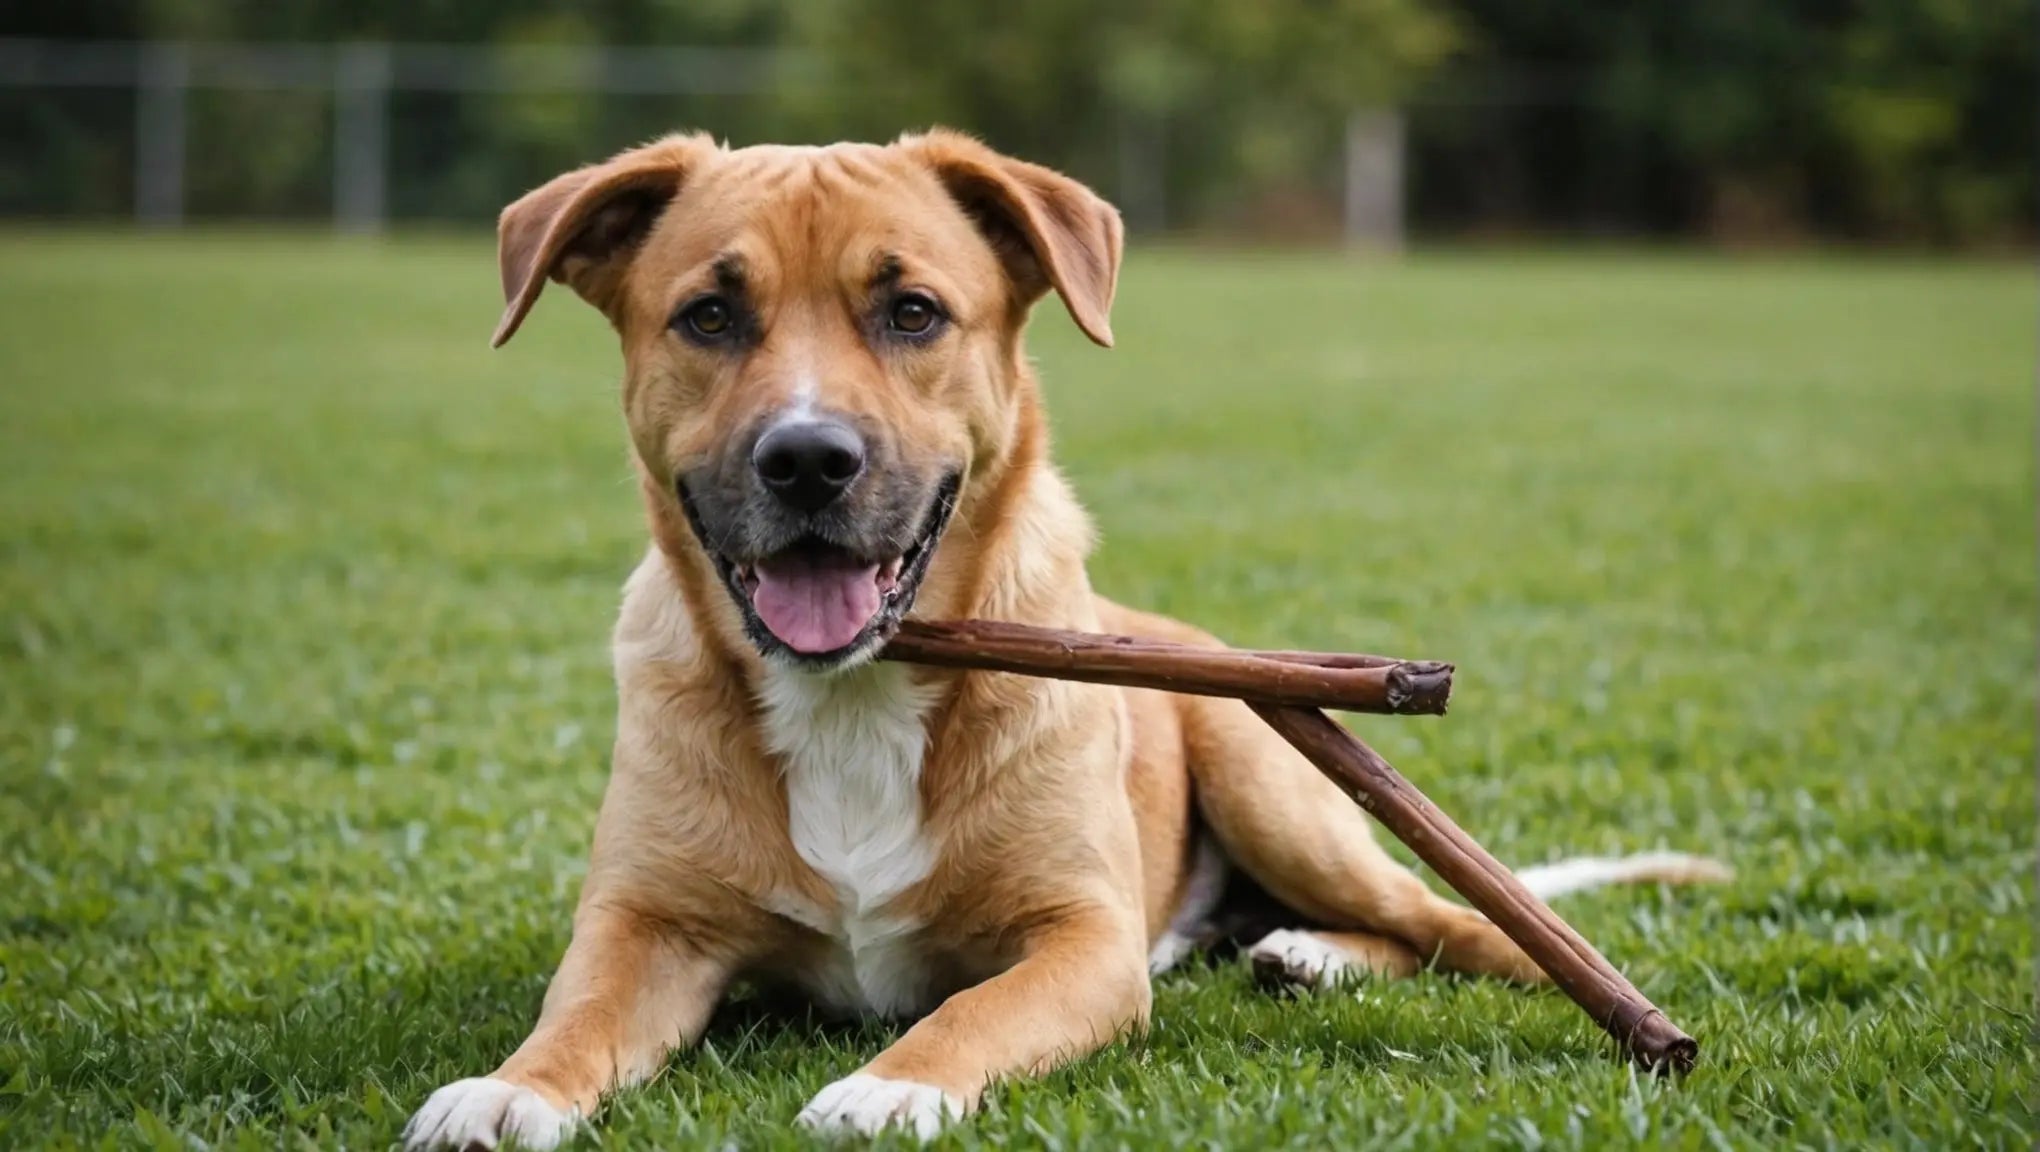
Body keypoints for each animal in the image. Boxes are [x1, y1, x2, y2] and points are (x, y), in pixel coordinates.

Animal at [393, 132, 1721, 1141]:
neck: (856, 695)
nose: (810, 460)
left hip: (1277, 790)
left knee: (1455, 928)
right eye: (709, 316)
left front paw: (890, 1088)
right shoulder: (645, 925)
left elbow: (970, 1012)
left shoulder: (1081, 940)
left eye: (913, 311)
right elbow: (576, 1015)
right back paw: (1295, 954)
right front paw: (509, 1091)